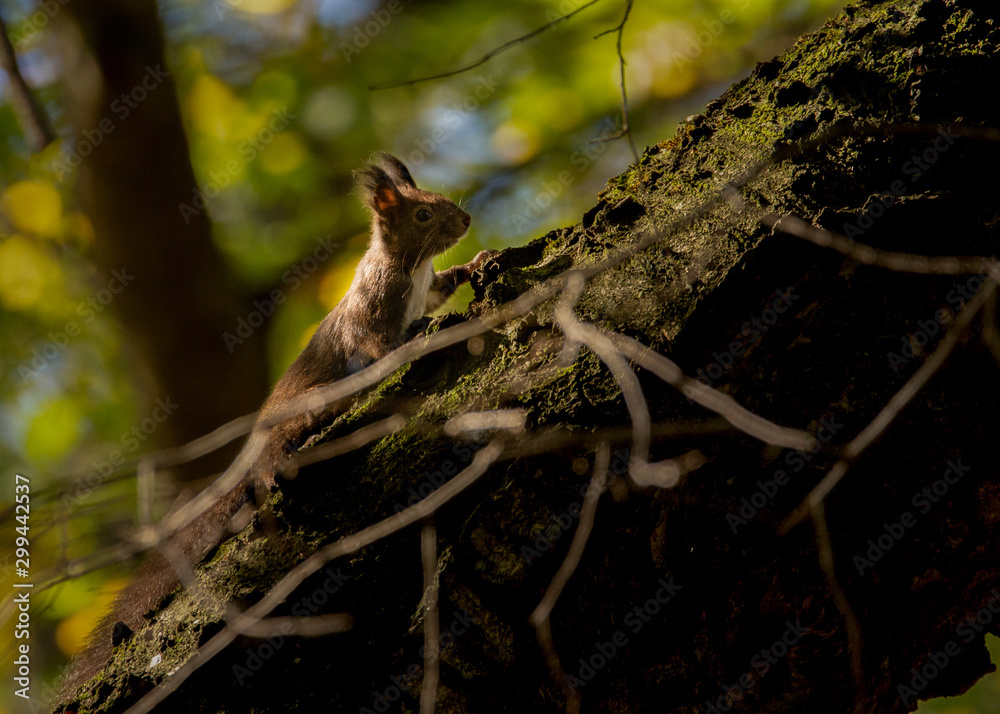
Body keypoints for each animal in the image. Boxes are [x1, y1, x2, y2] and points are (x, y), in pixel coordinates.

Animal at [57, 152, 494, 704]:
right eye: (422, 214)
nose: (467, 220)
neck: (409, 266)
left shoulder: (426, 288)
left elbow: (441, 290)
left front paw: (477, 263)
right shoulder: (372, 313)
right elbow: (378, 346)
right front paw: (415, 336)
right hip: (303, 412)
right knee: (270, 463)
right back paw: (272, 471)